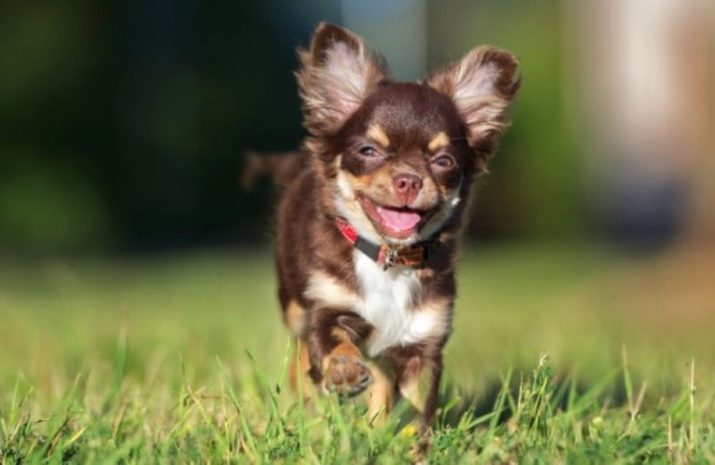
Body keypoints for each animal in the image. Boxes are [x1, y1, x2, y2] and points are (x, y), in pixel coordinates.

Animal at [273, 23, 520, 425]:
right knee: (299, 353)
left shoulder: (423, 341)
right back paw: (307, 404)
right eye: (368, 151)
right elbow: (331, 343)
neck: (388, 258)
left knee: (381, 379)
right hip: (294, 306)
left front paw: (407, 439)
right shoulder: (328, 308)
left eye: (444, 161)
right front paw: (342, 370)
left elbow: (416, 410)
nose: (409, 180)